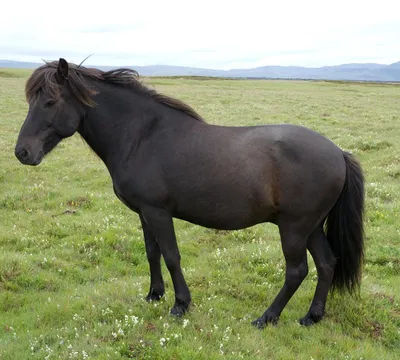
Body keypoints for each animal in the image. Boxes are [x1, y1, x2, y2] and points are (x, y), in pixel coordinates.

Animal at [14, 57, 366, 328]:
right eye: (31, 101)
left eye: (50, 101)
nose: (22, 152)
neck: (141, 136)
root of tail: (338, 153)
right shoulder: (144, 213)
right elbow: (152, 252)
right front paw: (154, 294)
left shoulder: (158, 212)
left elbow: (171, 255)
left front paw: (180, 304)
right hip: (310, 227)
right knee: (327, 264)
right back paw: (312, 317)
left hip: (294, 227)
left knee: (297, 271)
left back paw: (267, 317)